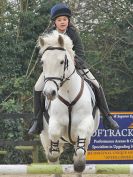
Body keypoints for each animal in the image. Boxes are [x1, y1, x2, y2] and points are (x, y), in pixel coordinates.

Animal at [38, 30, 100, 177]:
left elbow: (80, 153)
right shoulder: (54, 122)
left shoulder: (85, 124)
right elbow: (54, 141)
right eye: (43, 62)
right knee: (52, 157)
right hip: (44, 137)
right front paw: (53, 155)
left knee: (80, 150)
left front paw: (78, 163)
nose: (49, 93)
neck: (68, 93)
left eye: (62, 62)